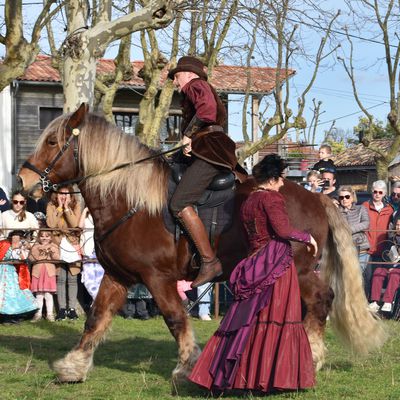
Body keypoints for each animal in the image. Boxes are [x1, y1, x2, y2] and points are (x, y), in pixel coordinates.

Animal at [18, 105, 384, 384]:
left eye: (52, 141)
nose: (23, 181)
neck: (130, 202)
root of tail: (316, 198)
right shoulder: (118, 276)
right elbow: (96, 317)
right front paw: (73, 366)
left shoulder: (158, 279)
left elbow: (175, 319)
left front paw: (187, 365)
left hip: (302, 269)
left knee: (321, 301)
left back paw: (312, 355)